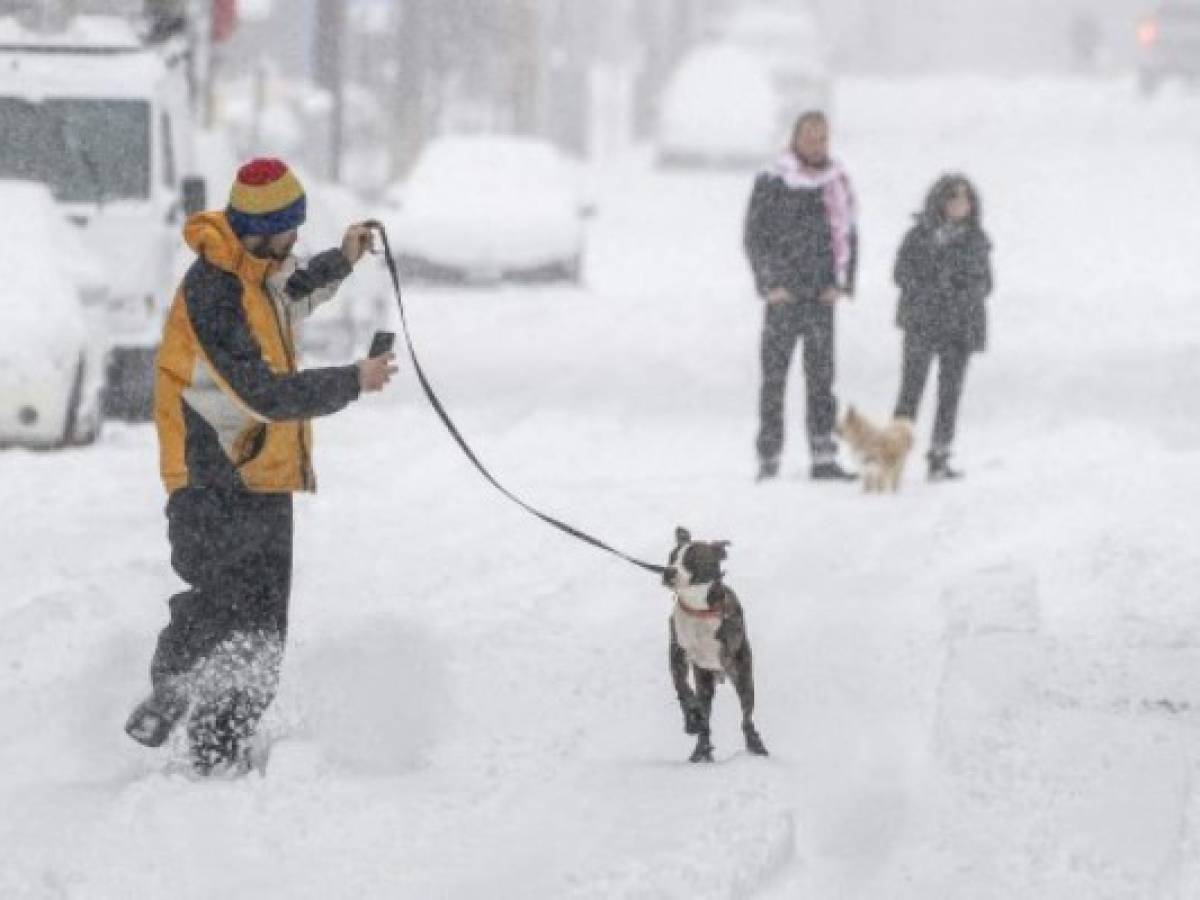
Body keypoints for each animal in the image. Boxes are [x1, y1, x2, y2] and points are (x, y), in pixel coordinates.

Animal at [667, 528, 768, 768]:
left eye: (692, 559)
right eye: (671, 558)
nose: (668, 572)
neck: (697, 609)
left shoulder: (729, 651)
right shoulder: (677, 653)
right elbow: (683, 688)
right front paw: (691, 716)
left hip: (744, 677)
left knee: (746, 717)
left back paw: (755, 745)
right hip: (705, 681)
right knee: (705, 721)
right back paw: (700, 748)